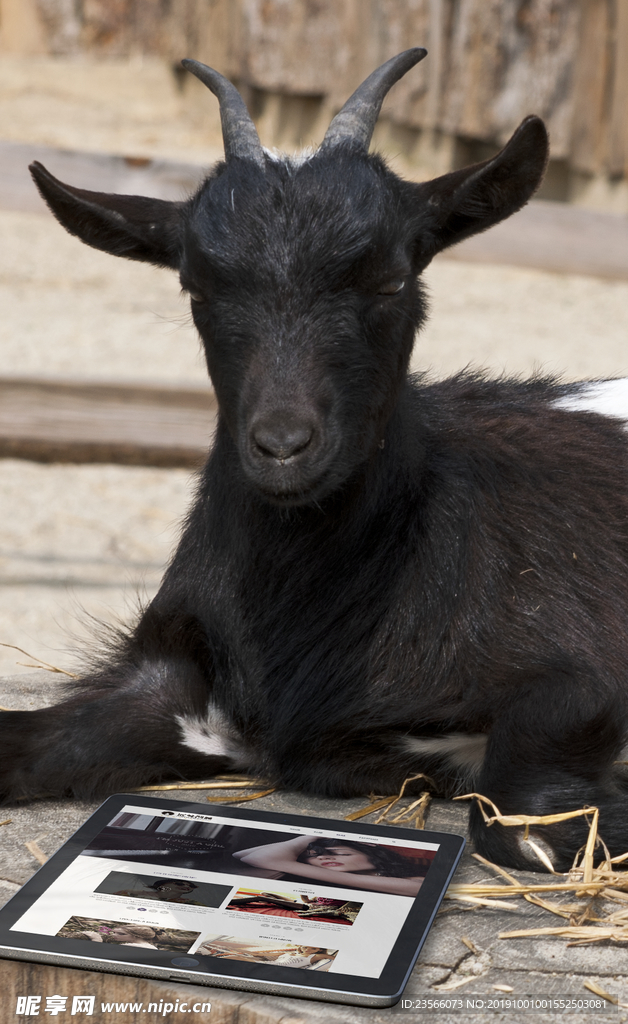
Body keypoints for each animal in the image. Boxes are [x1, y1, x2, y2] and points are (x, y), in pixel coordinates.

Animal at [2, 49, 622, 872]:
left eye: (392, 277)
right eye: (196, 286)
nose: (283, 447)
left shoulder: (579, 671)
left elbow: (525, 821)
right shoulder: (167, 681)